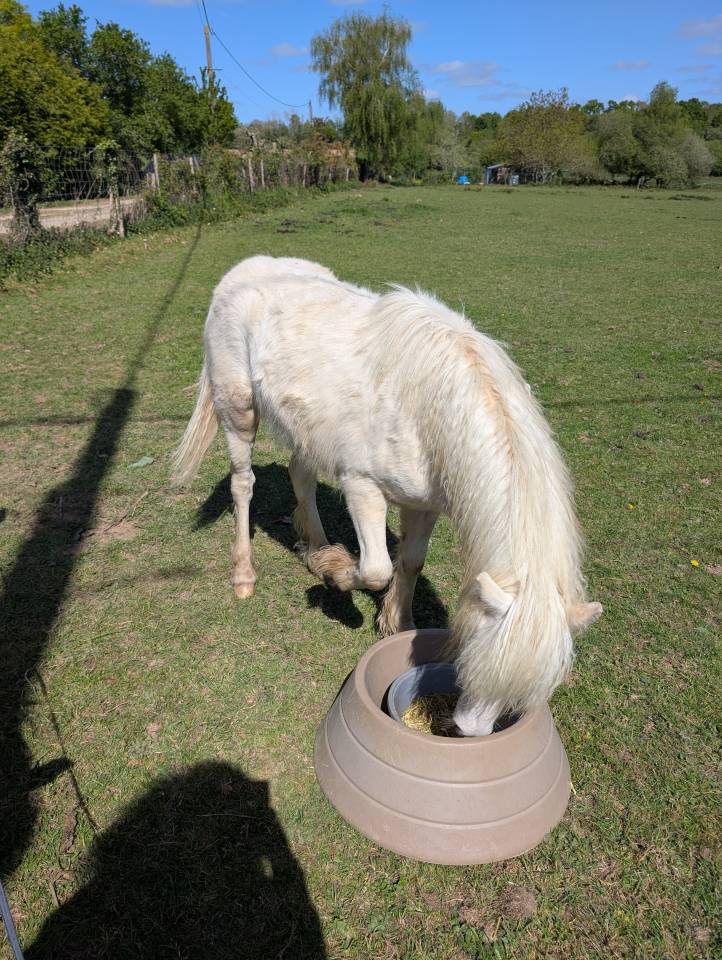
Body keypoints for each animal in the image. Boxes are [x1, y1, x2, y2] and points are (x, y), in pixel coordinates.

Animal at [172, 256, 602, 735]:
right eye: (478, 654)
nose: (467, 732)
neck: (426, 406)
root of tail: (239, 271)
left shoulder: (424, 503)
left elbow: (410, 562)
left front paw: (397, 622)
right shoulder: (362, 486)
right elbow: (376, 568)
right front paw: (337, 576)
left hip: (305, 430)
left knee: (301, 477)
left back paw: (317, 548)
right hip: (238, 410)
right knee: (243, 485)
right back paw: (246, 575)